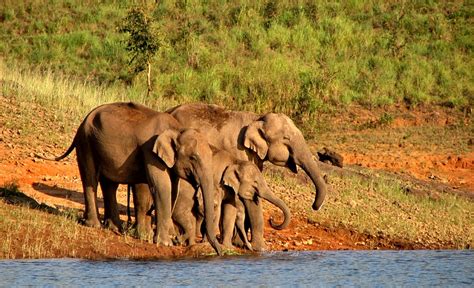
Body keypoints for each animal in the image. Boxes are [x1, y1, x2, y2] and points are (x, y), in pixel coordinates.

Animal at [168, 103, 328, 250]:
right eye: (286, 138)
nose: (314, 206)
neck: (256, 118)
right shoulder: (239, 151)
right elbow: (247, 198)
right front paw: (258, 248)